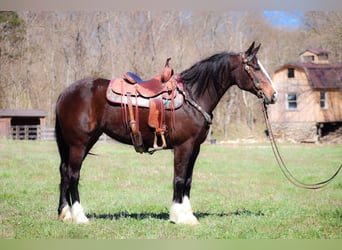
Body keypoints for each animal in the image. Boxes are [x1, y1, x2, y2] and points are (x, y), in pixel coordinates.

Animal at [54, 41, 278, 225]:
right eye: (254, 67)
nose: (273, 95)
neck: (192, 96)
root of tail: (65, 93)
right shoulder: (183, 146)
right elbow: (179, 179)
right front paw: (179, 216)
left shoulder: (194, 148)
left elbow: (187, 180)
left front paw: (188, 215)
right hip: (79, 144)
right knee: (73, 175)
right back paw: (80, 217)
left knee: (64, 173)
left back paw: (65, 214)